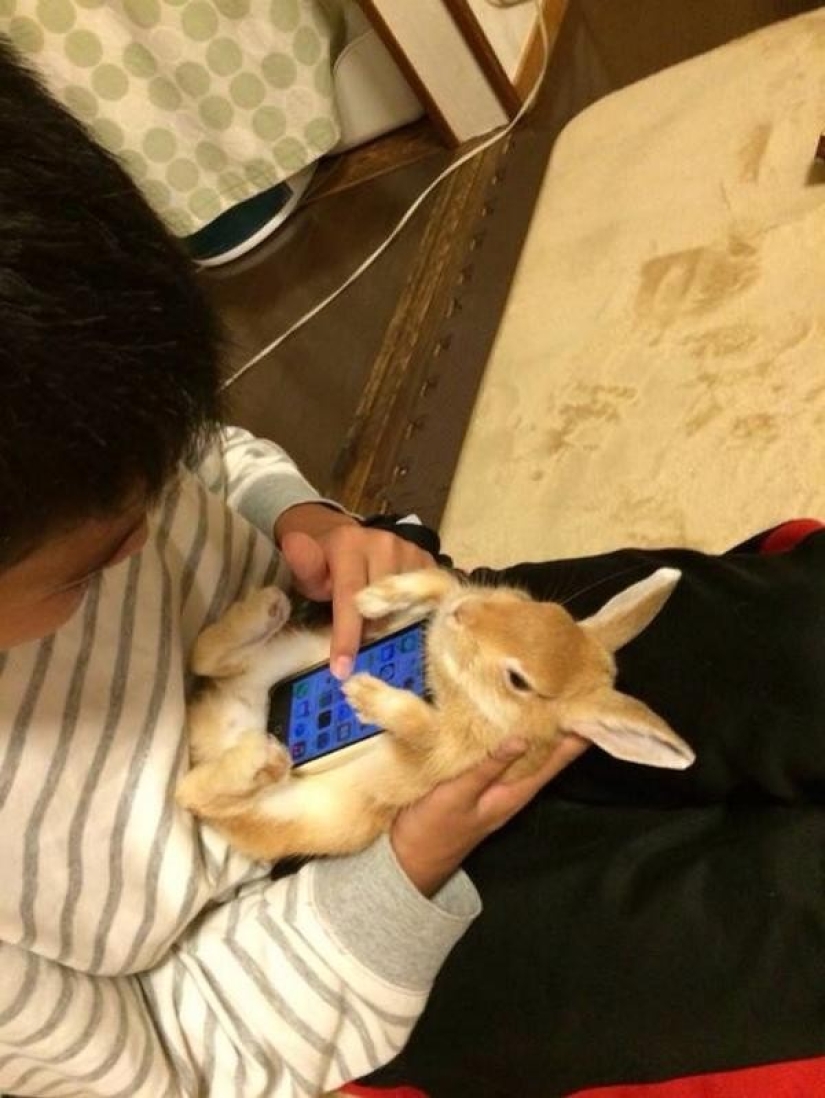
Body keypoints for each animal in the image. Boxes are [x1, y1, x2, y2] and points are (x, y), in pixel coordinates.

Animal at [176, 567, 694, 862]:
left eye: (519, 681)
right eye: (537, 605)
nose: (464, 615)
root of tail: (220, 724)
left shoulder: (452, 751)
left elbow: (423, 727)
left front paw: (364, 693)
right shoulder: (435, 605)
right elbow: (436, 580)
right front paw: (371, 599)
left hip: (281, 810)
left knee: (191, 791)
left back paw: (259, 755)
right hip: (284, 658)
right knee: (205, 657)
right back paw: (267, 608)